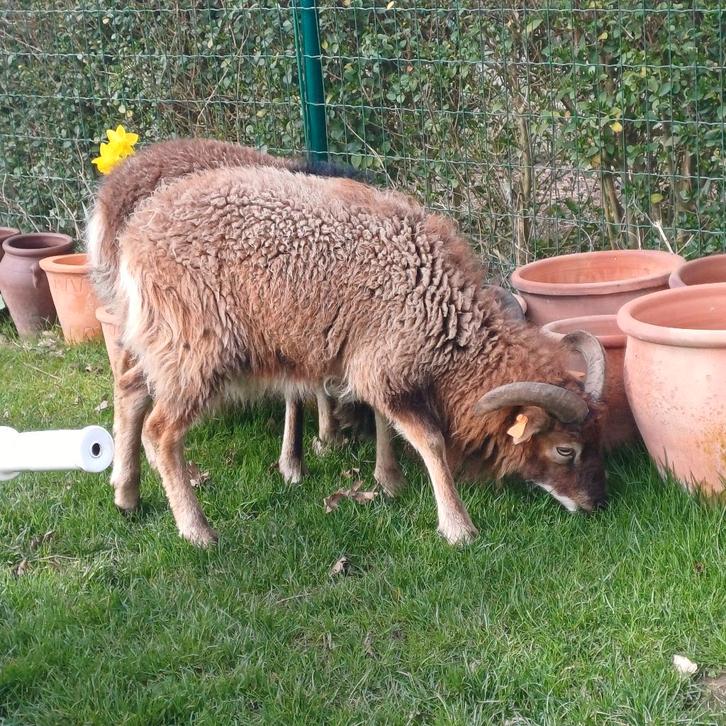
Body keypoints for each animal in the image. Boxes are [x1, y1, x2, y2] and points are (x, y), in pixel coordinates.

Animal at [108, 164, 607, 547]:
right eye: (566, 449)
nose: (596, 504)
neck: (442, 304)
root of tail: (136, 232)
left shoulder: (374, 361)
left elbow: (386, 421)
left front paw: (389, 481)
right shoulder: (384, 360)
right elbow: (428, 438)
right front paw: (457, 527)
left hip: (159, 337)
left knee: (130, 388)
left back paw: (126, 495)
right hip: (196, 349)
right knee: (161, 431)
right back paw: (198, 532)